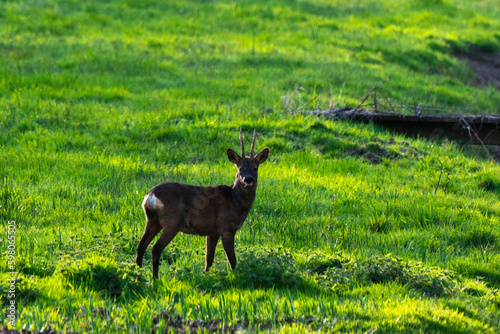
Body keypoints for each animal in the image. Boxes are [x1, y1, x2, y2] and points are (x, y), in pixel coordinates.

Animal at [135, 129, 270, 280]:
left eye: (255, 168)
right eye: (239, 168)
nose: (248, 179)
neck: (234, 200)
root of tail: (150, 196)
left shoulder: (212, 232)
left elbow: (209, 259)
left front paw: (207, 276)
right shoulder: (227, 227)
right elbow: (232, 261)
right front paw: (236, 276)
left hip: (152, 220)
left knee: (141, 246)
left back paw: (139, 275)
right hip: (172, 222)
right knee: (155, 248)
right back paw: (155, 279)